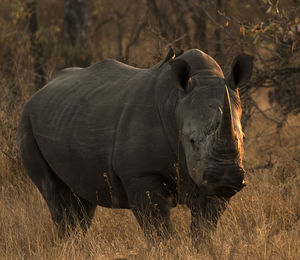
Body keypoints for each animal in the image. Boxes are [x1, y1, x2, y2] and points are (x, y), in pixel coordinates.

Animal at [18, 48, 252, 244]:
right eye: (191, 140)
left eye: (243, 137)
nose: (226, 179)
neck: (176, 104)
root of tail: (40, 90)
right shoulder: (141, 174)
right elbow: (158, 228)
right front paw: (166, 250)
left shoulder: (207, 181)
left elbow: (204, 227)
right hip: (26, 120)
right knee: (55, 194)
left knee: (82, 200)